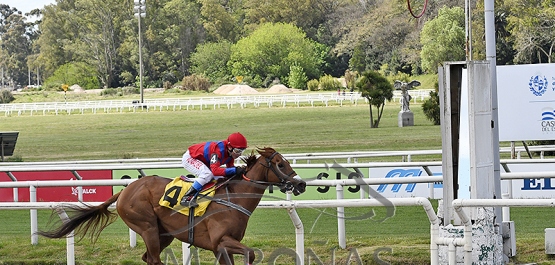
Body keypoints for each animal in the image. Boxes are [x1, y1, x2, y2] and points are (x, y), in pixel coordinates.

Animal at [38, 147, 308, 262]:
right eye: (280, 164)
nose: (302, 183)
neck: (234, 198)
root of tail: (126, 190)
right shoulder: (221, 241)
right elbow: (250, 252)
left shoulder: (221, 247)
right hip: (146, 226)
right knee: (154, 259)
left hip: (164, 233)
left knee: (148, 258)